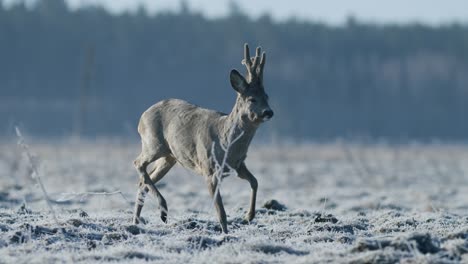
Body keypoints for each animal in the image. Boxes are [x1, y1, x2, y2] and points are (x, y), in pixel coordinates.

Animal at [133, 43, 274, 233]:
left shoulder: (237, 165)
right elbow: (221, 211)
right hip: (153, 143)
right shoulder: (209, 170)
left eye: (266, 96)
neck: (226, 142)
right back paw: (162, 209)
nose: (269, 112)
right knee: (138, 163)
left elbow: (255, 182)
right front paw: (226, 234)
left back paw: (138, 221)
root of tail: (142, 116)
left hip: (170, 157)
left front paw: (249, 216)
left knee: (143, 182)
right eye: (252, 99)